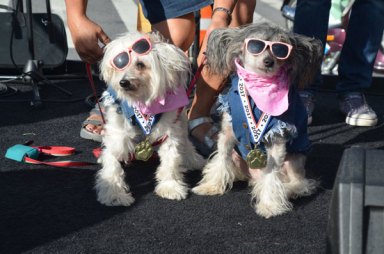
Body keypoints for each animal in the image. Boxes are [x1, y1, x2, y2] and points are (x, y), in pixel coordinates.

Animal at [96, 31, 206, 206]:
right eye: (121, 64)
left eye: (140, 65)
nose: (123, 82)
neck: (142, 103)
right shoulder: (117, 136)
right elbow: (111, 165)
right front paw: (114, 194)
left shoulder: (169, 132)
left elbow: (171, 160)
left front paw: (170, 186)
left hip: (181, 122)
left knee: (185, 143)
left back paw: (193, 159)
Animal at [194, 22, 322, 218]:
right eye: (255, 45)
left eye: (281, 49)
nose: (269, 61)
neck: (257, 91)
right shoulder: (227, 134)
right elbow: (221, 159)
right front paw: (211, 186)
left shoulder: (277, 139)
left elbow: (271, 173)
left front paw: (270, 206)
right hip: (238, 156)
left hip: (294, 160)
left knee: (301, 183)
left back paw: (290, 190)